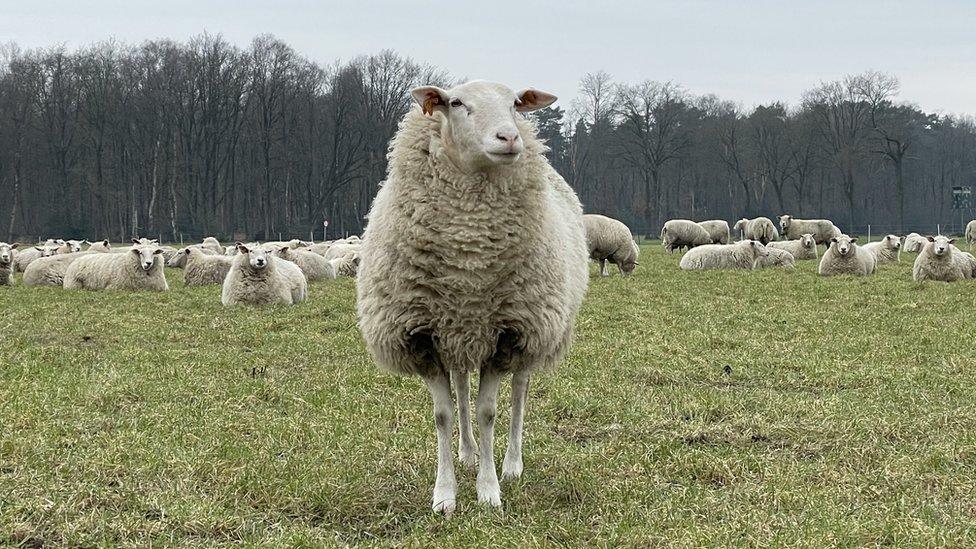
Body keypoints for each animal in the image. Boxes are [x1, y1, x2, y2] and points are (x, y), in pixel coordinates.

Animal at [356, 79, 588, 512]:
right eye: (456, 102)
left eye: (515, 103)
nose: (509, 137)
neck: (469, 251)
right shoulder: (423, 335)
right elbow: (444, 415)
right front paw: (445, 493)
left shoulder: (507, 332)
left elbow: (489, 412)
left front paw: (489, 489)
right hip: (459, 332)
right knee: (462, 386)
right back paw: (466, 453)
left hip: (535, 327)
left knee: (520, 392)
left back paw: (511, 463)